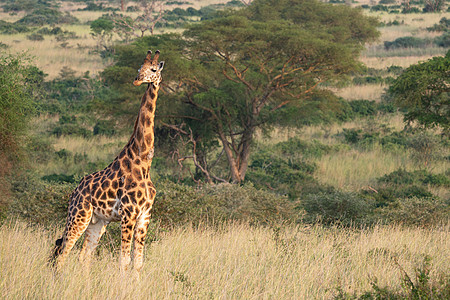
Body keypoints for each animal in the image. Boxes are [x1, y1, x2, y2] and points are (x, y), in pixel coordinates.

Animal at [52, 49, 165, 272]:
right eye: (139, 67)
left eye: (153, 69)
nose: (137, 80)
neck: (143, 162)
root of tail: (74, 191)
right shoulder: (129, 214)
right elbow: (124, 261)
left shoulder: (145, 216)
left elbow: (138, 263)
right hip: (79, 215)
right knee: (62, 253)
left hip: (98, 222)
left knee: (83, 256)